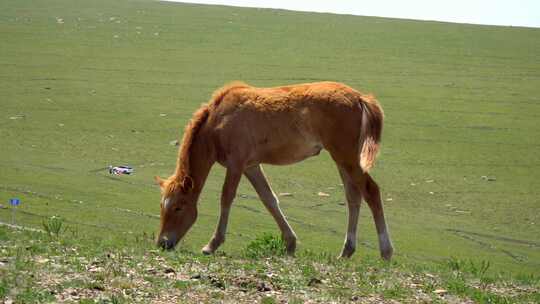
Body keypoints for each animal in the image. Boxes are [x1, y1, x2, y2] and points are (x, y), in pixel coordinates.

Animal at [154, 81, 394, 258]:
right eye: (162, 206)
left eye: (178, 207)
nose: (162, 243)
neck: (218, 121)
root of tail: (360, 98)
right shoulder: (251, 166)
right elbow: (269, 199)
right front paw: (290, 243)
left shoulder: (236, 164)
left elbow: (226, 198)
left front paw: (212, 244)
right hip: (343, 160)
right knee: (353, 197)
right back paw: (346, 251)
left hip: (347, 157)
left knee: (371, 192)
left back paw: (386, 251)